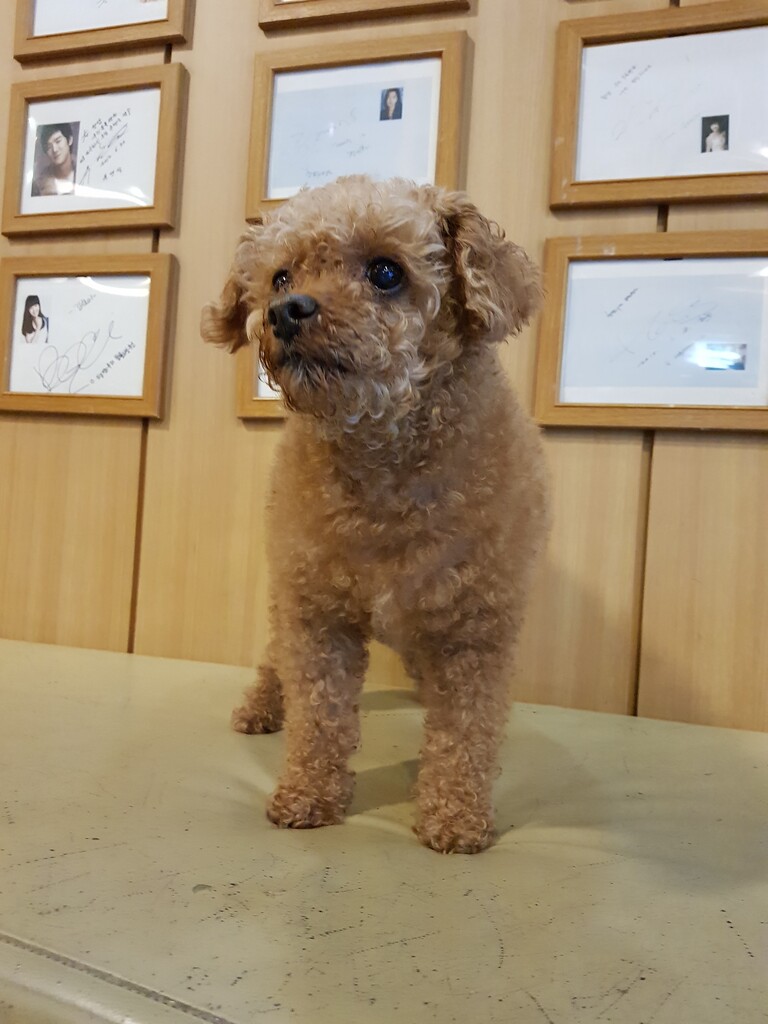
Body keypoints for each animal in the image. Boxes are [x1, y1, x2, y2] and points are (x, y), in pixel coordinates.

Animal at [201, 176, 550, 853]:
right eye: (281, 276)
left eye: (386, 272)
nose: (285, 312)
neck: (386, 473)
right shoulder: (317, 615)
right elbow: (319, 716)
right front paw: (307, 795)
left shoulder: (476, 630)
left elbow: (465, 731)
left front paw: (456, 817)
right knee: (276, 654)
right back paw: (261, 707)